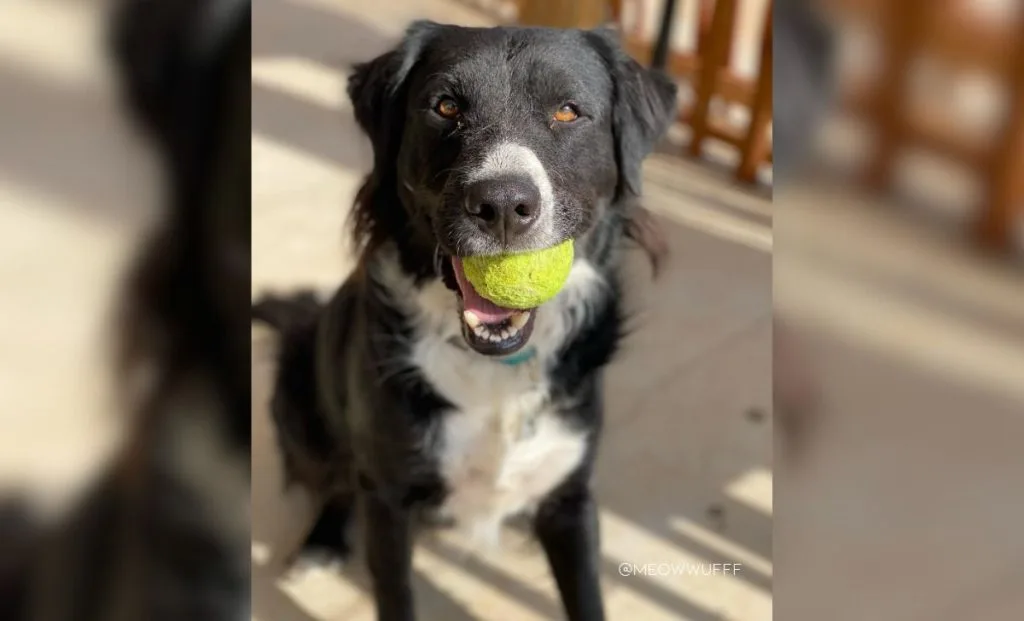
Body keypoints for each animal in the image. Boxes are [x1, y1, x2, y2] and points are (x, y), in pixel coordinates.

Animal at [251, 21, 675, 621]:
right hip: (299, 404)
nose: (501, 206)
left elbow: (587, 596)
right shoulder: (387, 496)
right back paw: (321, 543)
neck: (495, 368)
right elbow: (395, 594)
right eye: (446, 106)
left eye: (568, 111)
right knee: (333, 479)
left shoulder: (569, 497)